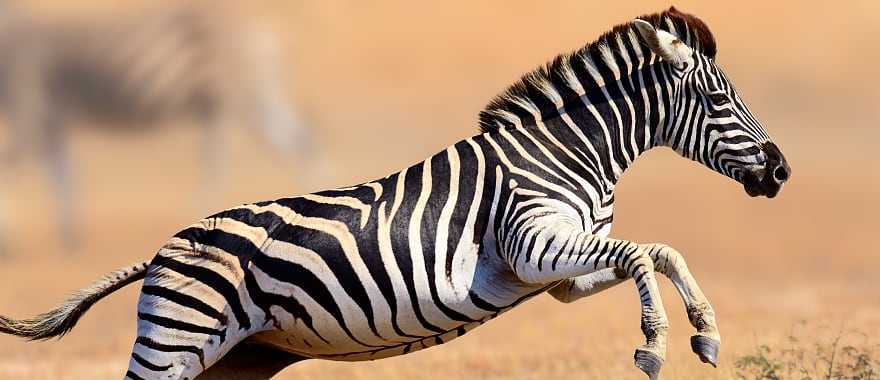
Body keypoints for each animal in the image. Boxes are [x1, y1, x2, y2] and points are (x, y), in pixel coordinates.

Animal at [0, 5, 314, 249]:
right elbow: (62, 177)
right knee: (300, 141)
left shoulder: (29, 110)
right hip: (244, 99)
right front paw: (71, 235)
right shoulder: (51, 121)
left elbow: (12, 167)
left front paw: (9, 241)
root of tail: (260, 33)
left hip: (243, 97)